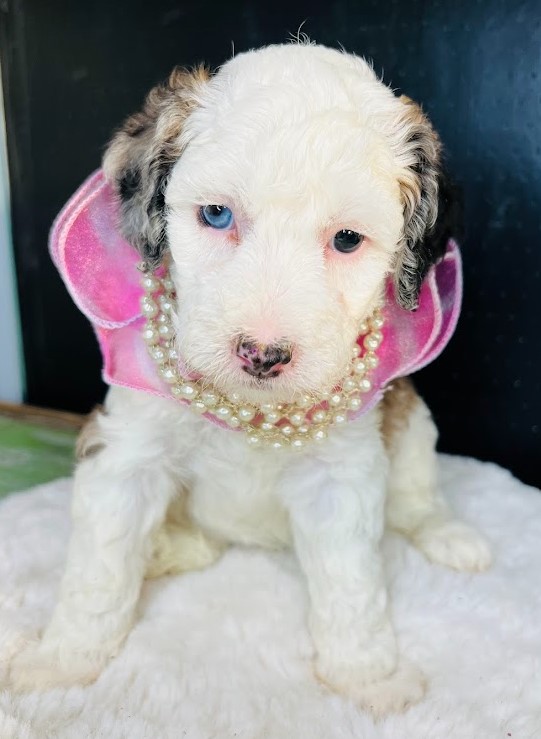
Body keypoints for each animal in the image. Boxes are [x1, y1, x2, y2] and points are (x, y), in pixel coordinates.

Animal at [7, 43, 490, 712]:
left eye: (347, 239)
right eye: (216, 214)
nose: (262, 354)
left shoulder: (341, 473)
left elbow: (350, 583)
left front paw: (367, 674)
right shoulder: (126, 452)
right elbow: (99, 570)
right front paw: (63, 660)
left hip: (413, 422)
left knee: (418, 496)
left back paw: (448, 535)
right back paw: (165, 548)